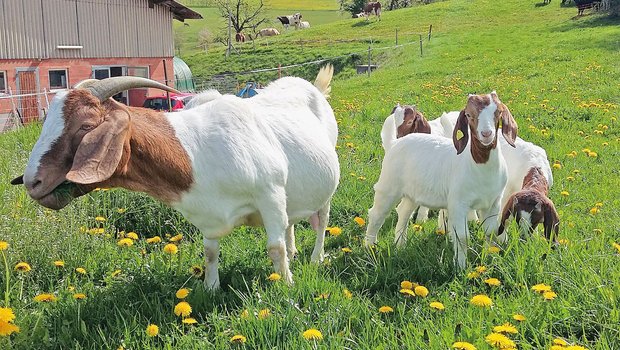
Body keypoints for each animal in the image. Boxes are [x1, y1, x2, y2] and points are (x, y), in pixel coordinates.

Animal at [9, 65, 340, 290]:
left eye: (85, 126)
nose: (32, 182)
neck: (195, 153)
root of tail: (311, 87)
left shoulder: (269, 193)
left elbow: (274, 247)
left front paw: (286, 284)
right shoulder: (210, 215)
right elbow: (210, 252)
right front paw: (211, 287)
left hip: (325, 186)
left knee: (321, 219)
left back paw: (315, 257)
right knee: (291, 222)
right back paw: (296, 251)